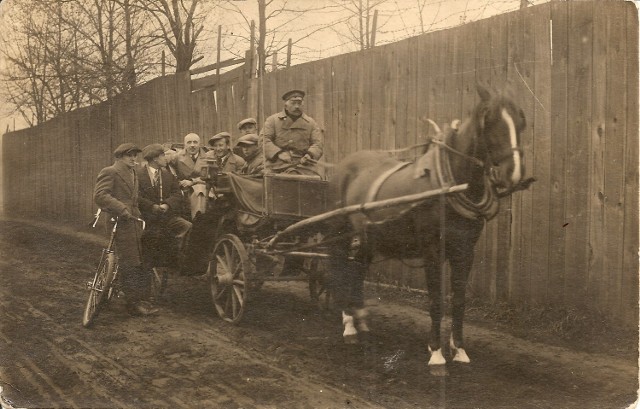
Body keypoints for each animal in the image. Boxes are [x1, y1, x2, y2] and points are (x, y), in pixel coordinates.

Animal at [328, 84, 532, 364]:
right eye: (488, 120)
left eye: (521, 121)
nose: (514, 174)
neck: (451, 184)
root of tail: (347, 163)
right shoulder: (432, 251)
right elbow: (436, 300)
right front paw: (436, 352)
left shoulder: (465, 251)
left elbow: (459, 301)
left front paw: (459, 349)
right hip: (341, 232)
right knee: (340, 271)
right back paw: (348, 324)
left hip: (369, 237)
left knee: (357, 269)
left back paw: (361, 320)